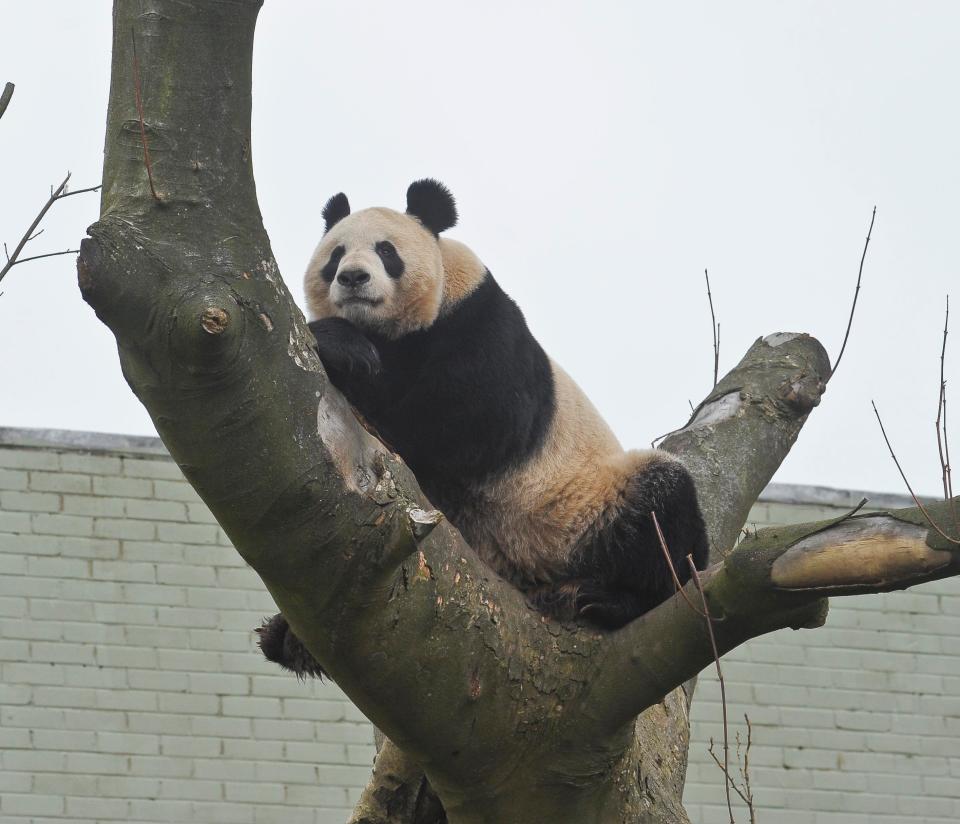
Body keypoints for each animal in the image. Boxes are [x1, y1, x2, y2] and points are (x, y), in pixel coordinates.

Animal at [258, 180, 708, 676]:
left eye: (386, 251)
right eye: (335, 254)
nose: (353, 277)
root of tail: (531, 576)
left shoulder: (479, 324)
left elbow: (468, 423)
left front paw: (348, 351)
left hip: (584, 512)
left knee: (665, 508)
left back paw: (604, 600)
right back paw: (286, 638)